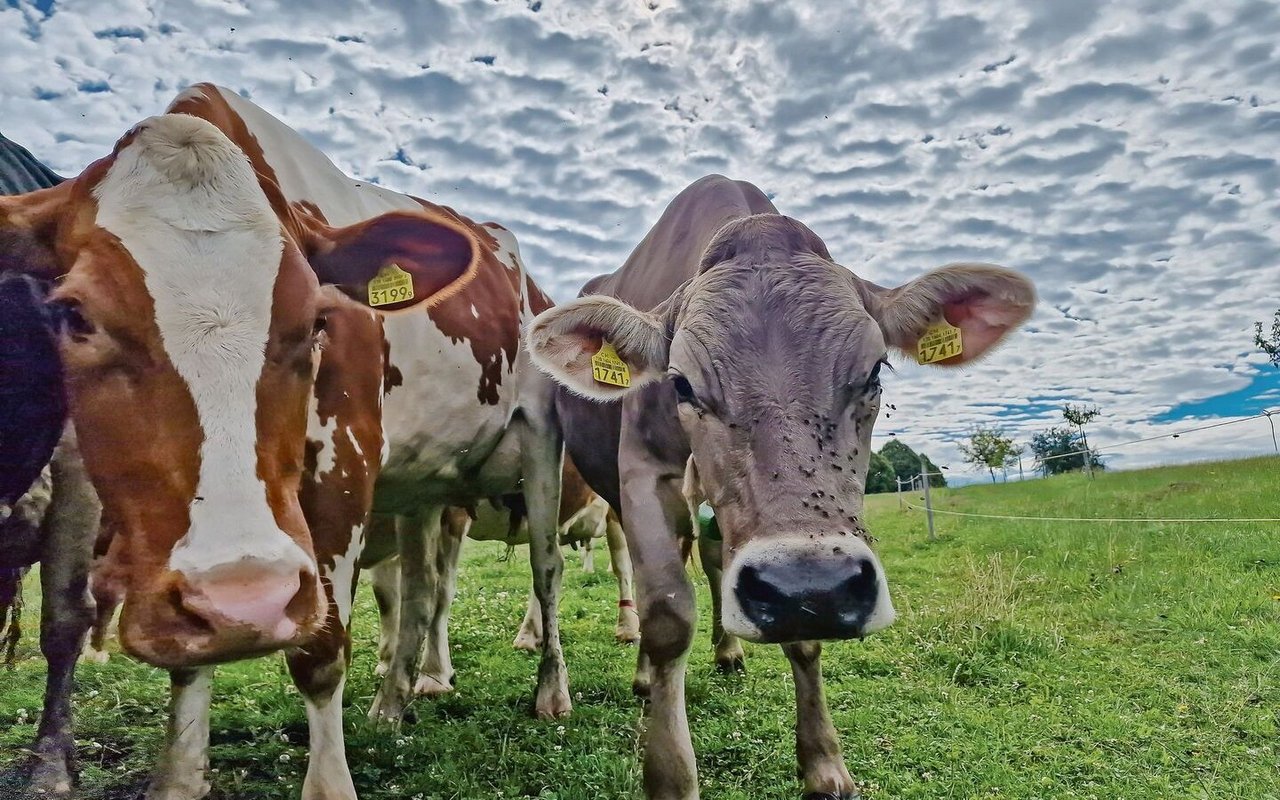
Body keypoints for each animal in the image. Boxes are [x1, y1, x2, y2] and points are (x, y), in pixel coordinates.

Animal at [524, 176, 1034, 798]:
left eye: (875, 372)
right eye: (681, 384)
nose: (810, 588)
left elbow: (801, 635)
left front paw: (824, 763)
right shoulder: (644, 473)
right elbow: (668, 614)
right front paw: (671, 773)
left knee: (711, 561)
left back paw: (727, 651)